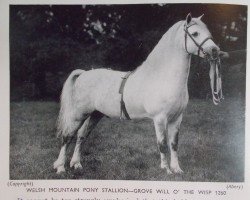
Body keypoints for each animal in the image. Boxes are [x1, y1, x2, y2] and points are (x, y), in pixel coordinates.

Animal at [53, 13, 220, 174]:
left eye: (209, 33)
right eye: (195, 33)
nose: (215, 51)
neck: (163, 77)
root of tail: (83, 74)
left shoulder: (176, 118)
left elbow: (174, 144)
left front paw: (177, 169)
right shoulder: (160, 118)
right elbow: (162, 144)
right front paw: (166, 170)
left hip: (95, 114)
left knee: (81, 136)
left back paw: (76, 164)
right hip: (79, 114)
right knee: (67, 137)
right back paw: (61, 168)